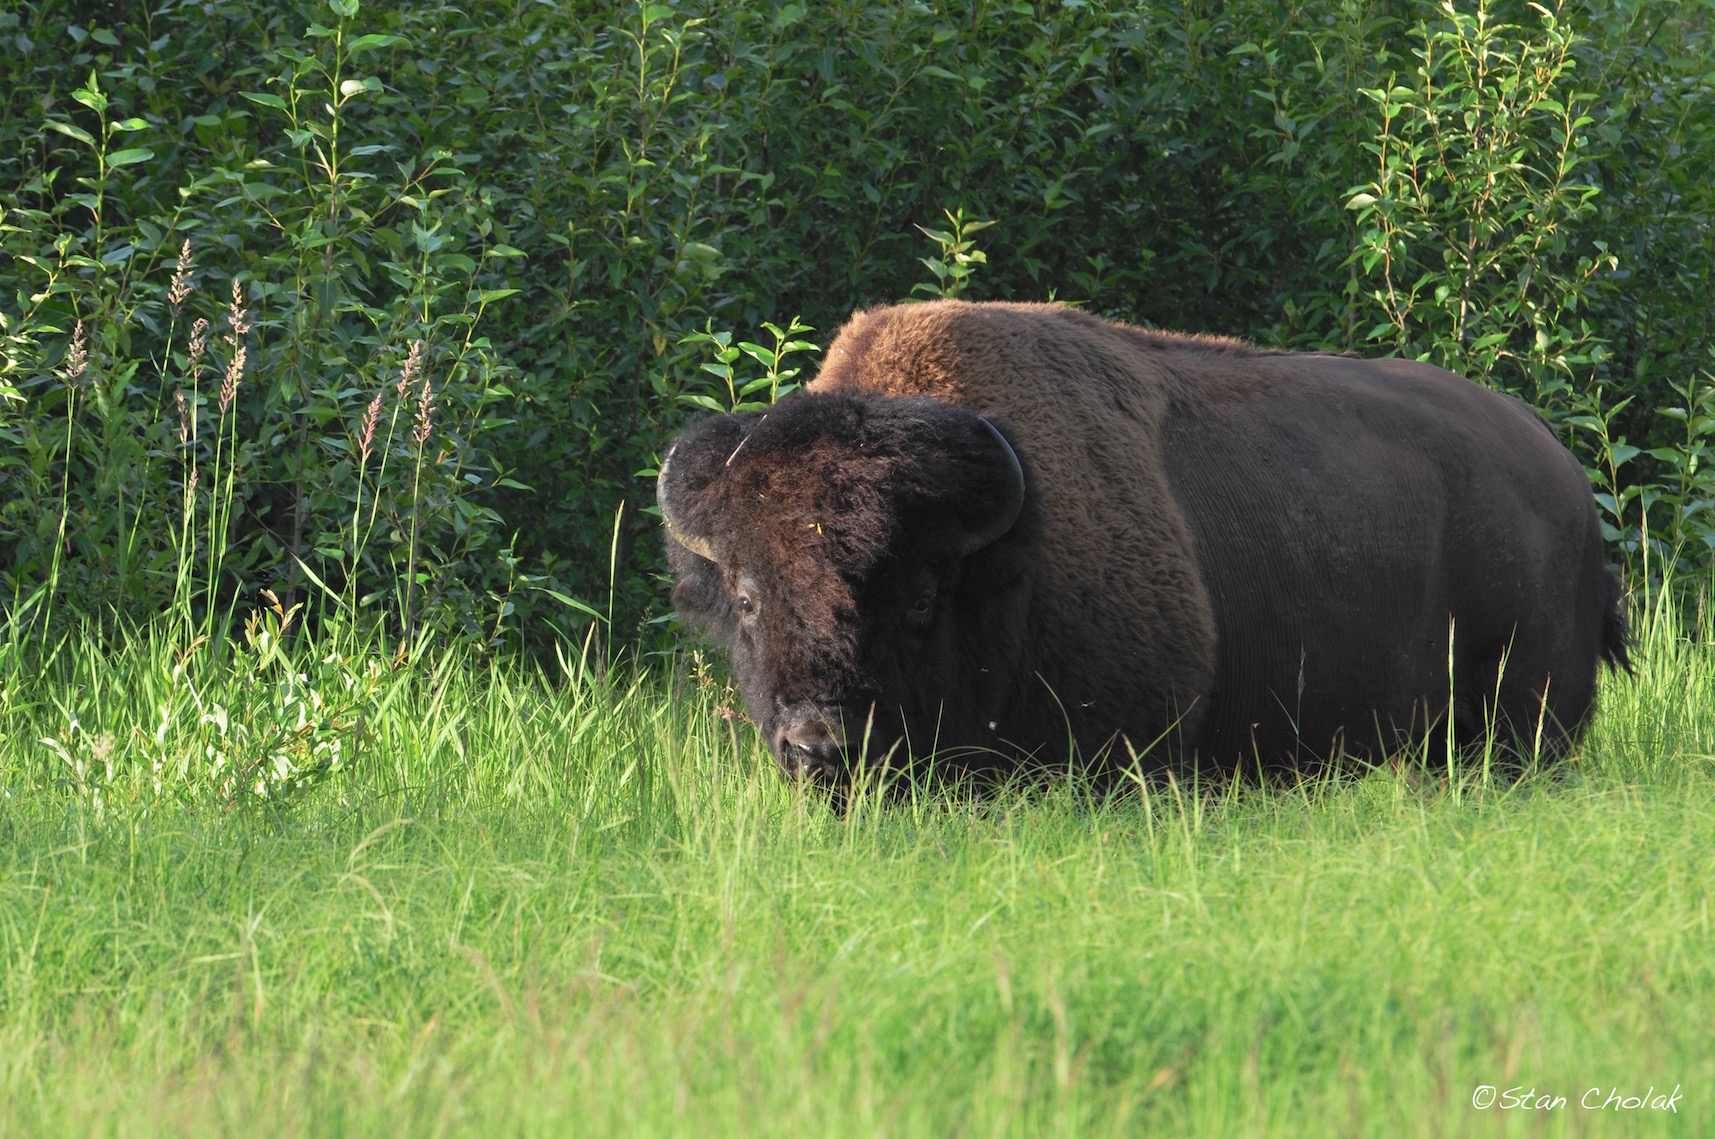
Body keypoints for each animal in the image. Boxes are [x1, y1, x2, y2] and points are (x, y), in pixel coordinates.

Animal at [651, 300, 1618, 782]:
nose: (821, 745)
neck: (1010, 552)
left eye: (921, 595)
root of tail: (1563, 473)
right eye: (747, 595)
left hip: (1526, 723)